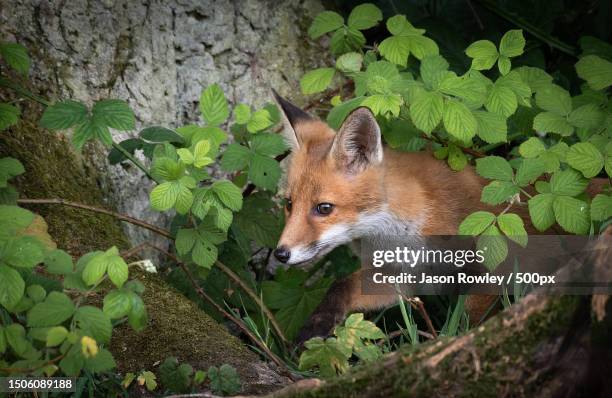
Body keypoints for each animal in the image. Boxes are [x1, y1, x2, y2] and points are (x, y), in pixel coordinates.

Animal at [270, 90, 600, 346]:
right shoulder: (403, 275)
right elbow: (342, 285)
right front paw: (314, 329)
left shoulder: (491, 268)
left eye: (324, 208)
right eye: (289, 204)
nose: (281, 253)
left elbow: (470, 323)